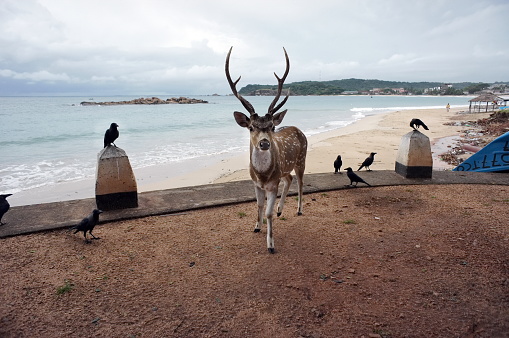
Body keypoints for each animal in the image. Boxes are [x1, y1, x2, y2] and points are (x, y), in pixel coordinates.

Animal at [225, 46, 306, 254]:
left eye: (271, 126)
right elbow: (259, 205)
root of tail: (298, 129)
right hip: (284, 170)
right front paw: (256, 226)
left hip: (301, 159)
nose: (264, 143)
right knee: (289, 179)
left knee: (300, 183)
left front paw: (270, 244)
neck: (262, 175)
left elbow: (268, 213)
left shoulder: (272, 184)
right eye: (251, 127)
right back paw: (280, 209)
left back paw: (298, 209)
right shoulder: (255, 183)